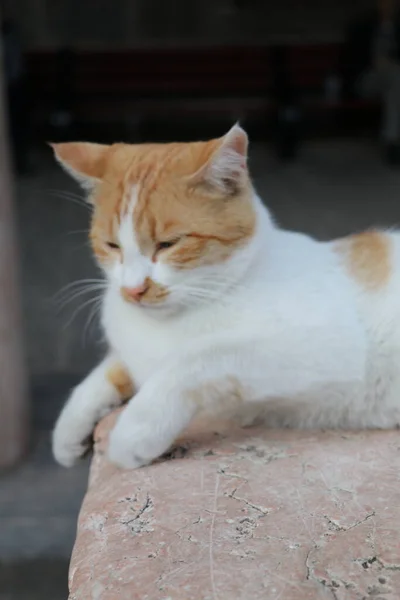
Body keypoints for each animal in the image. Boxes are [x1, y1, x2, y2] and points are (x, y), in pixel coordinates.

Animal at [51, 123, 400, 468]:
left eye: (168, 244)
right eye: (112, 246)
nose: (134, 289)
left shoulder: (330, 345)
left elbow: (199, 357)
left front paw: (135, 430)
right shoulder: (133, 354)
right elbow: (109, 370)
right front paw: (68, 430)